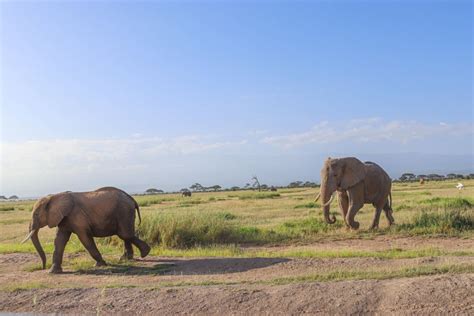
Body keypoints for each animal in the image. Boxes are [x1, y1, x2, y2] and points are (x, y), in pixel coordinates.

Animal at [21, 186, 150, 272]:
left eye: (36, 214)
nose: (43, 267)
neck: (53, 196)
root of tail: (131, 198)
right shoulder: (64, 218)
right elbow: (59, 241)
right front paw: (53, 272)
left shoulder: (77, 216)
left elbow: (85, 239)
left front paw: (100, 264)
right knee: (124, 234)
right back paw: (126, 259)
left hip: (124, 211)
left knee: (125, 234)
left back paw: (145, 253)